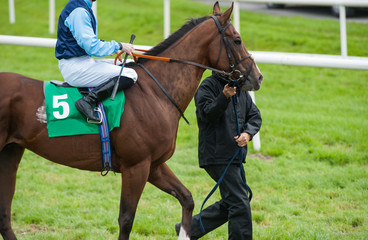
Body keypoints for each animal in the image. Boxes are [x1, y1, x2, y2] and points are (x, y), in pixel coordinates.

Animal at [0, 2, 262, 240]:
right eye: (237, 40)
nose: (257, 77)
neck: (156, 93)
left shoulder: (154, 165)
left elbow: (187, 198)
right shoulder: (136, 166)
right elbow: (126, 219)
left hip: (11, 151)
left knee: (4, 214)